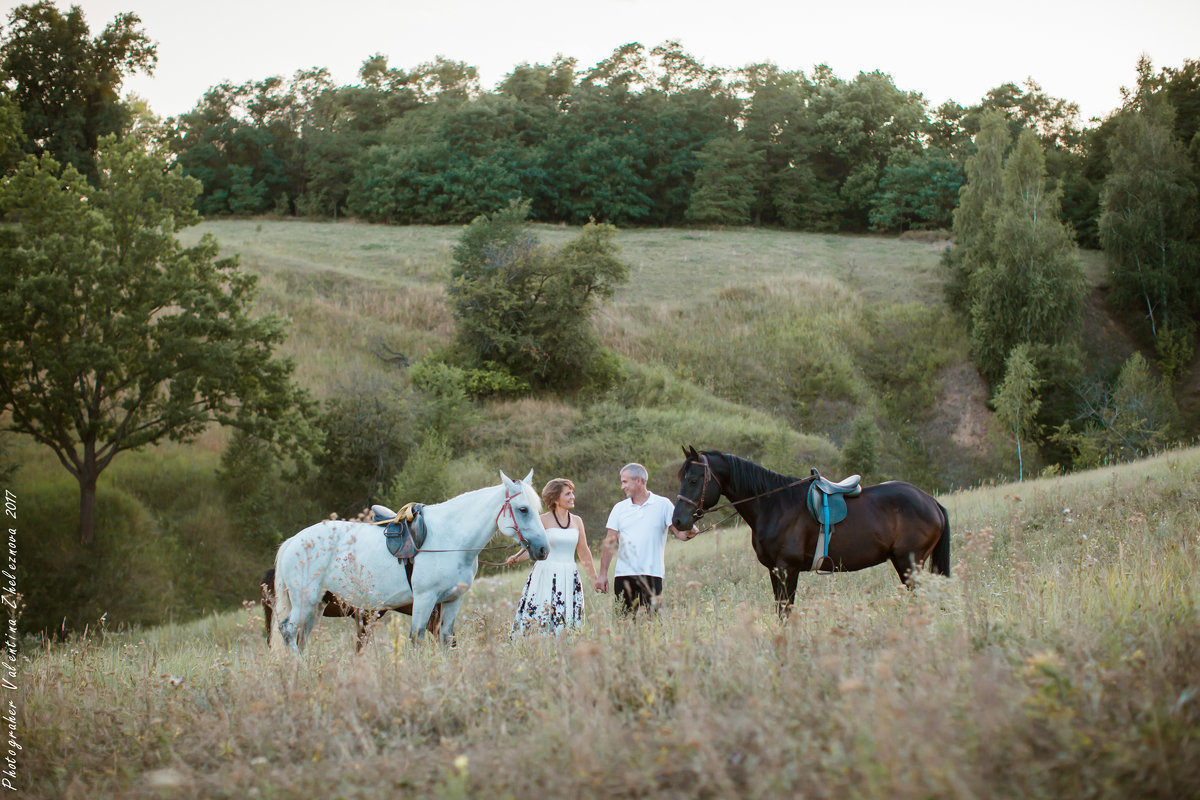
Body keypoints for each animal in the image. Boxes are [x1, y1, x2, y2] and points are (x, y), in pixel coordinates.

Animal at [676, 450, 945, 614]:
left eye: (693, 480)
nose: (678, 520)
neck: (774, 505)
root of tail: (930, 502)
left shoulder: (788, 568)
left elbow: (785, 611)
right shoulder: (775, 571)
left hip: (909, 563)